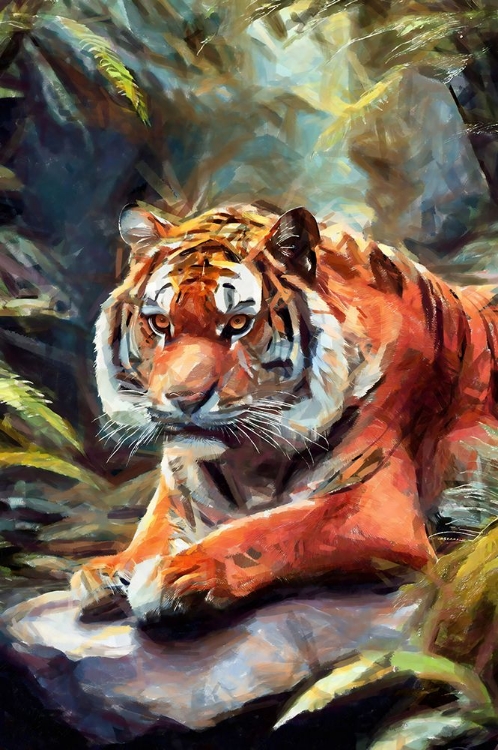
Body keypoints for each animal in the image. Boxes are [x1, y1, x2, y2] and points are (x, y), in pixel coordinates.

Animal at [70, 202, 498, 622]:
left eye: (238, 323)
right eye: (160, 322)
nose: (185, 399)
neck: (245, 462)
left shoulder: (375, 510)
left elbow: (278, 527)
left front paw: (175, 574)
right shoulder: (178, 485)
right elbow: (154, 528)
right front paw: (109, 570)